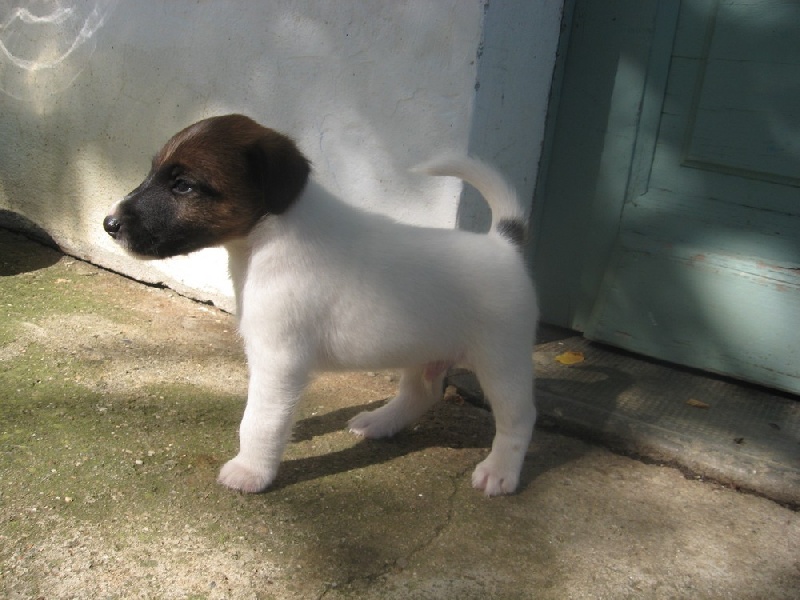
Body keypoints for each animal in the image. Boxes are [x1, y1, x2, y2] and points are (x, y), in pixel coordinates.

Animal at [103, 114, 538, 496]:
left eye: (183, 186)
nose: (109, 224)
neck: (268, 235)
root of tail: (503, 243)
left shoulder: (279, 361)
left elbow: (260, 421)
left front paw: (250, 470)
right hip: (426, 349)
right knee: (422, 393)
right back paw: (380, 422)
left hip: (501, 361)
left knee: (518, 418)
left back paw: (499, 472)